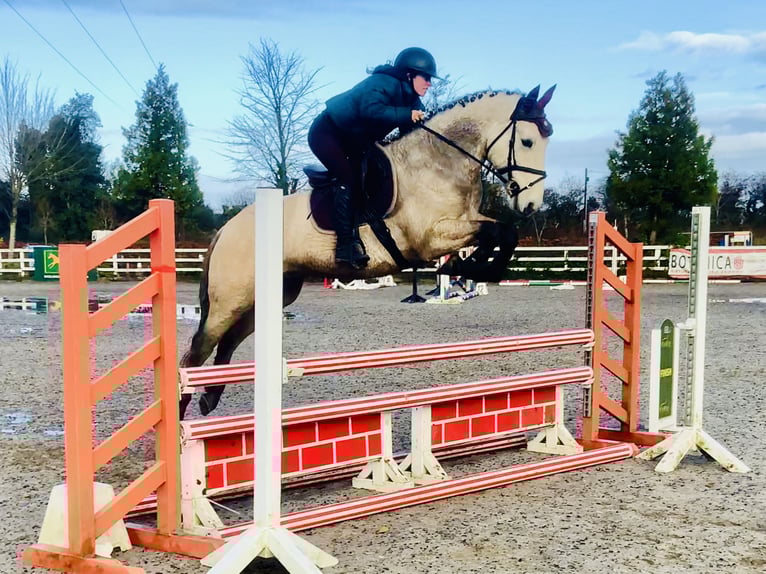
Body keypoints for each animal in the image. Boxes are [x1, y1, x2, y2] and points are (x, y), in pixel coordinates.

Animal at [178, 85, 556, 420]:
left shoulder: (463, 222)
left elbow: (503, 232)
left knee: (227, 343)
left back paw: (210, 398)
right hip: (232, 299)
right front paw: (471, 269)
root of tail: (226, 228)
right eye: (527, 141)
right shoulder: (431, 237)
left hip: (269, 297)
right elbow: (495, 232)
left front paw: (476, 269)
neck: (439, 164)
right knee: (196, 353)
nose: (531, 205)